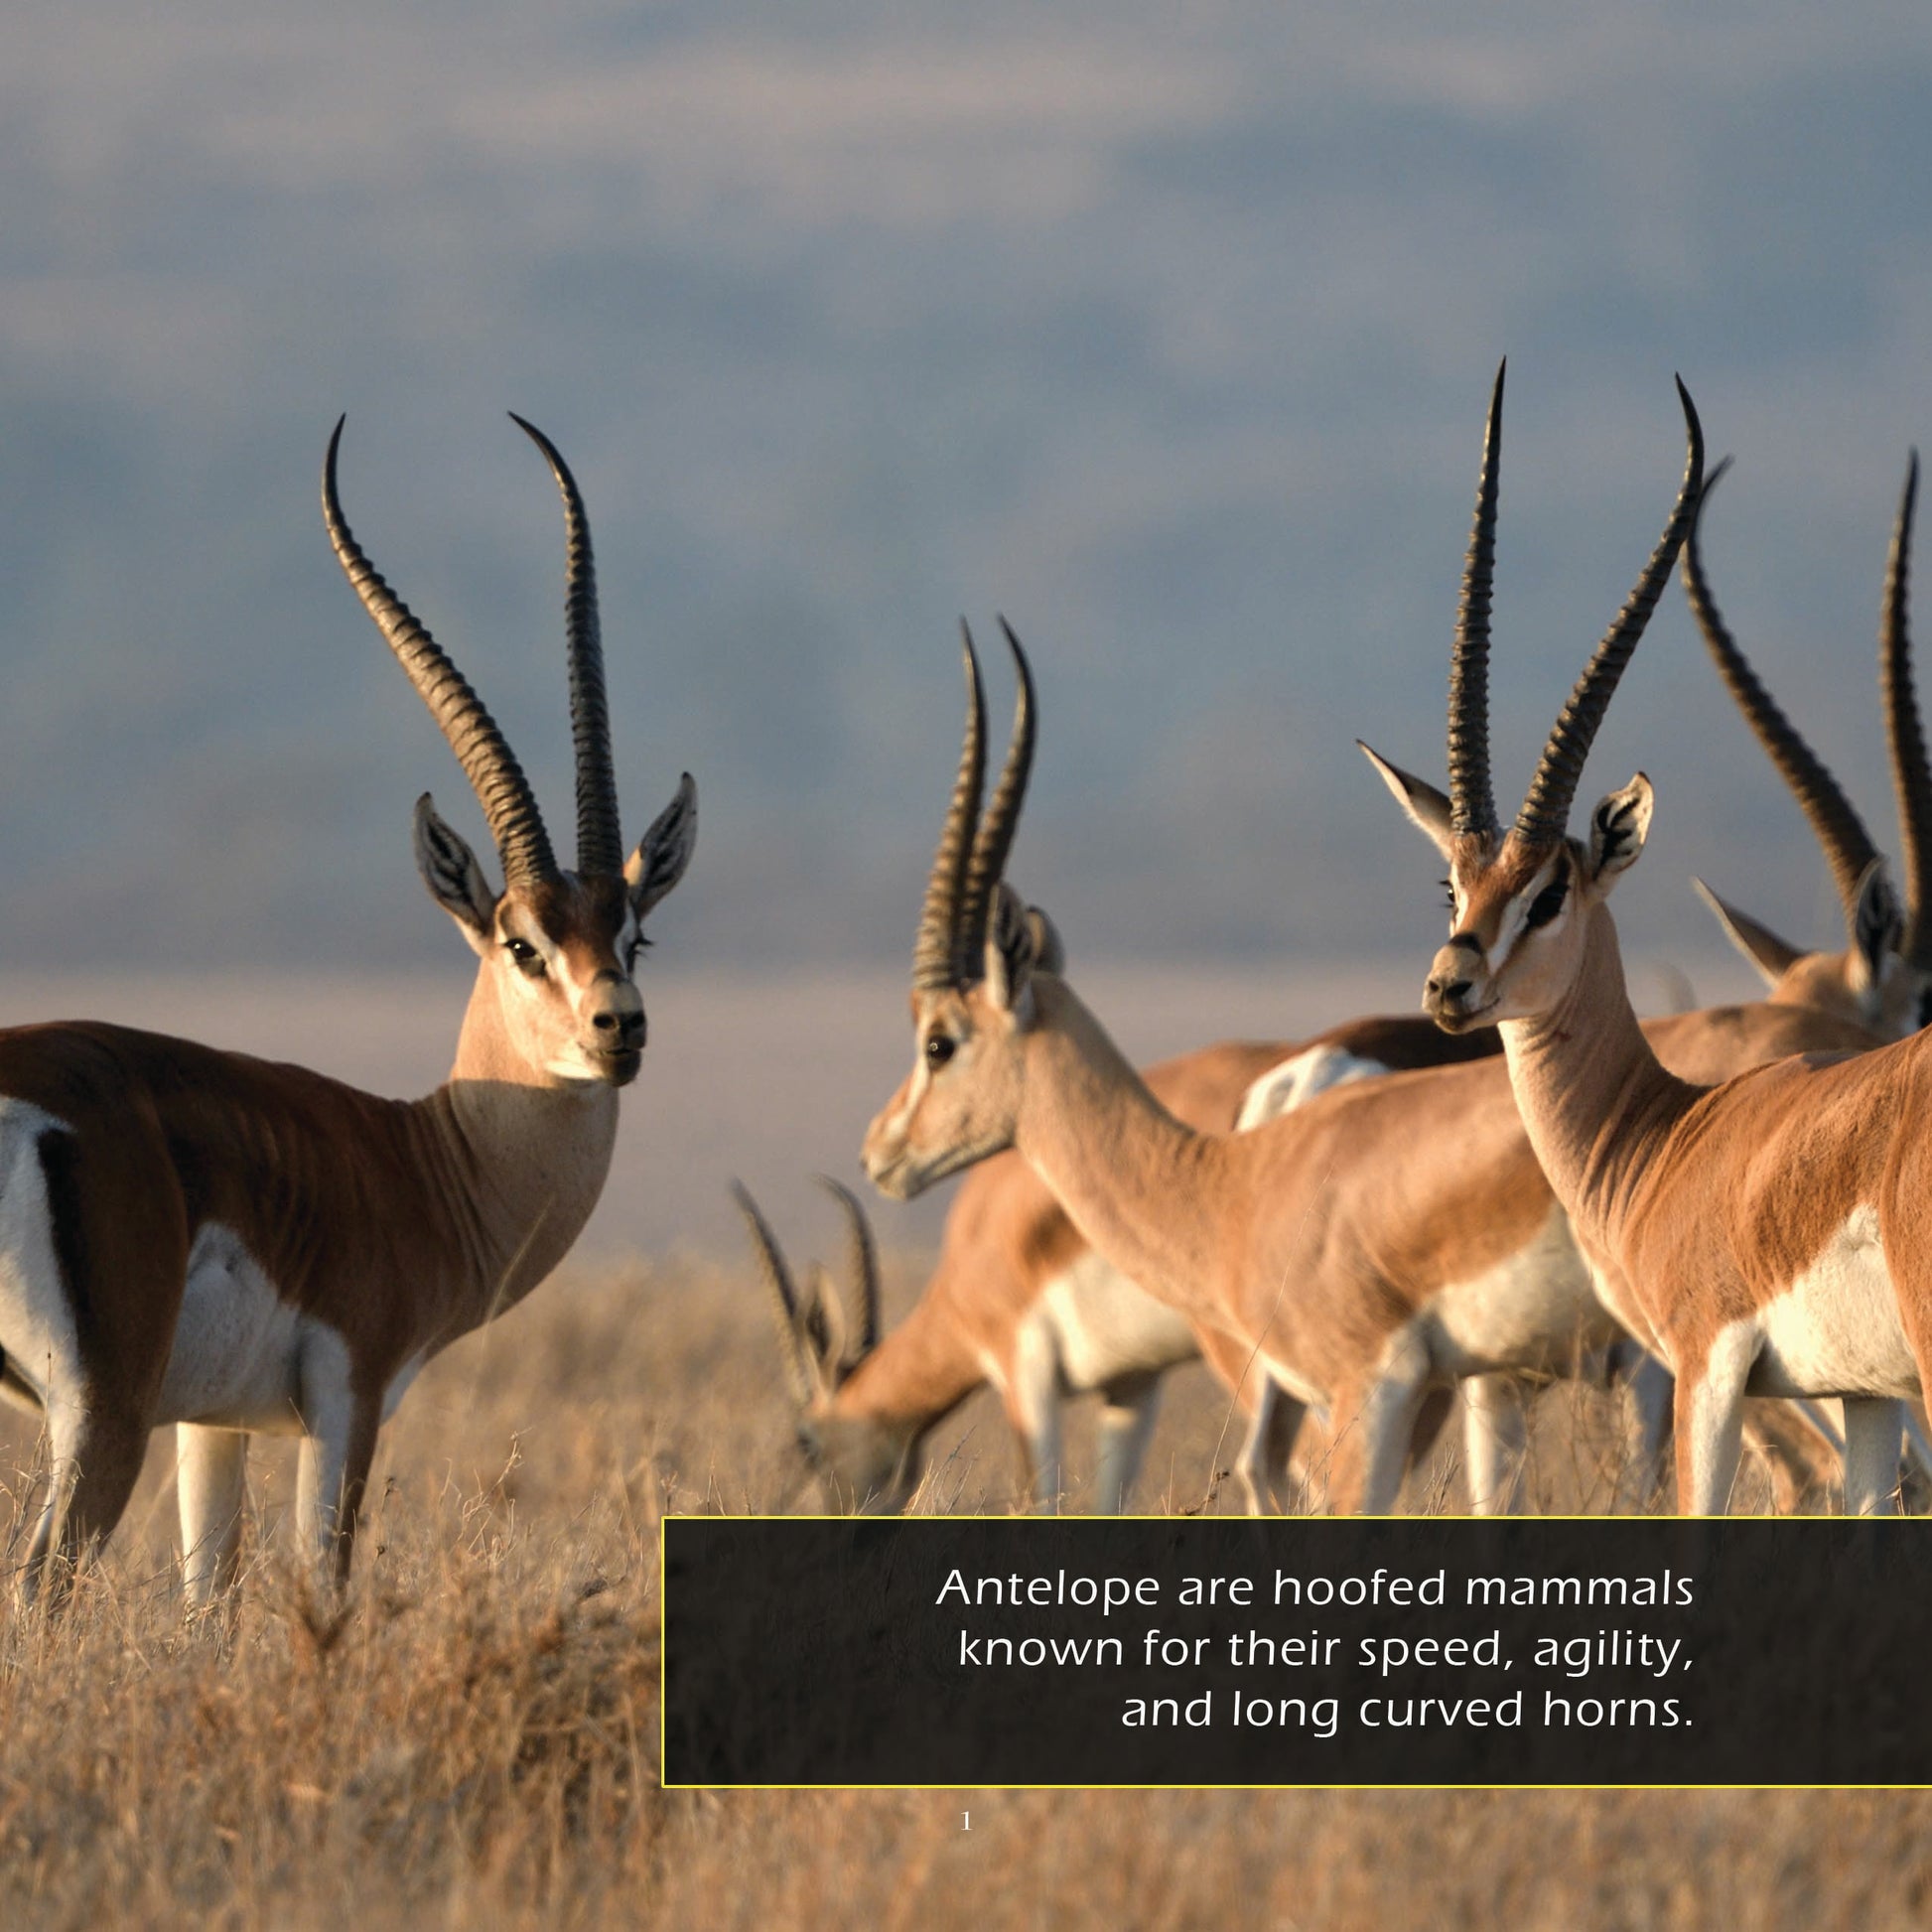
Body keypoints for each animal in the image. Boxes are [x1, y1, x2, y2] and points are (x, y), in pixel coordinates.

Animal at [0, 416, 696, 1606]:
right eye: (522, 944)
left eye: (631, 936)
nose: (620, 1030)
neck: (420, 1157)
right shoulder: (348, 1398)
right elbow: (322, 1586)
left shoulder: (214, 1426)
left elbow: (210, 1603)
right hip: (103, 1416)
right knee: (41, 1585)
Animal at [1376, 373, 1932, 1513]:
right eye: (1453, 881)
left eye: (1549, 892)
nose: (1449, 986)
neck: (1670, 1136)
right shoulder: (1863, 1393)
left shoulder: (1705, 1368)